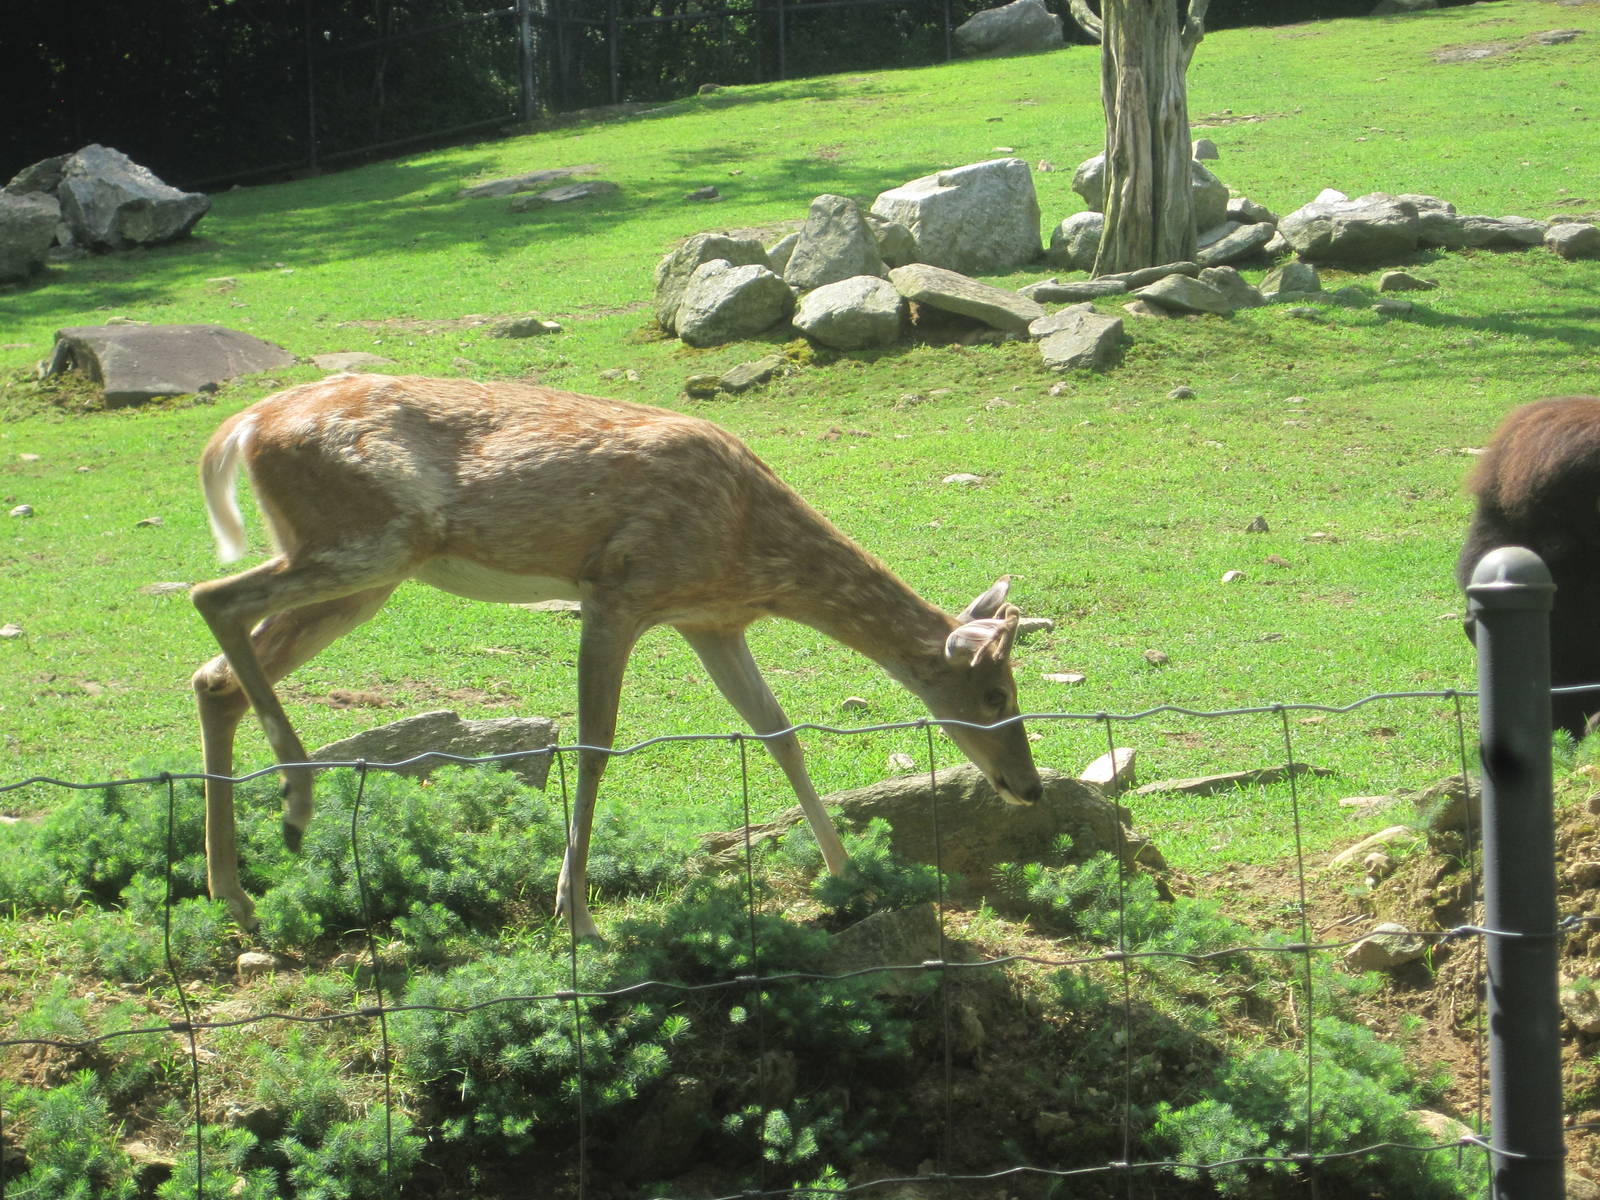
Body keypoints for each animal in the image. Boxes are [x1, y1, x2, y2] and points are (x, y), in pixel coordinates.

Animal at [189, 374, 1044, 942]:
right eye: (997, 694)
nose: (1029, 787)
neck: (753, 552)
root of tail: (241, 427)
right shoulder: (620, 589)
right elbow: (596, 744)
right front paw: (576, 916)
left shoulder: (711, 620)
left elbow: (779, 734)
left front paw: (847, 875)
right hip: (369, 538)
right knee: (211, 594)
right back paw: (294, 797)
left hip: (364, 574)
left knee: (217, 676)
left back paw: (235, 894)